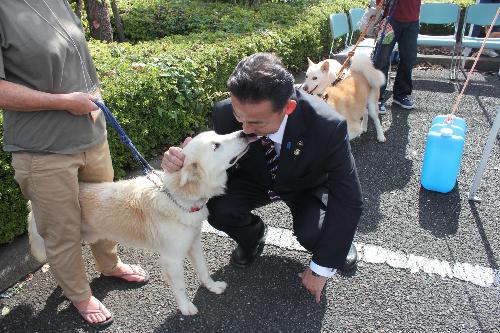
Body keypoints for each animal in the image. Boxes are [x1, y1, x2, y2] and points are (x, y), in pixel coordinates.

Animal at [28, 129, 254, 314]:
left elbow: (204, 269)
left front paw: (212, 286)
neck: (177, 197)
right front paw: (185, 307)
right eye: (216, 145)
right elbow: (180, 287)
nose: (244, 132)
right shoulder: (172, 259)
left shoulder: (194, 243)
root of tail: (32, 203)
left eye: (219, 134)